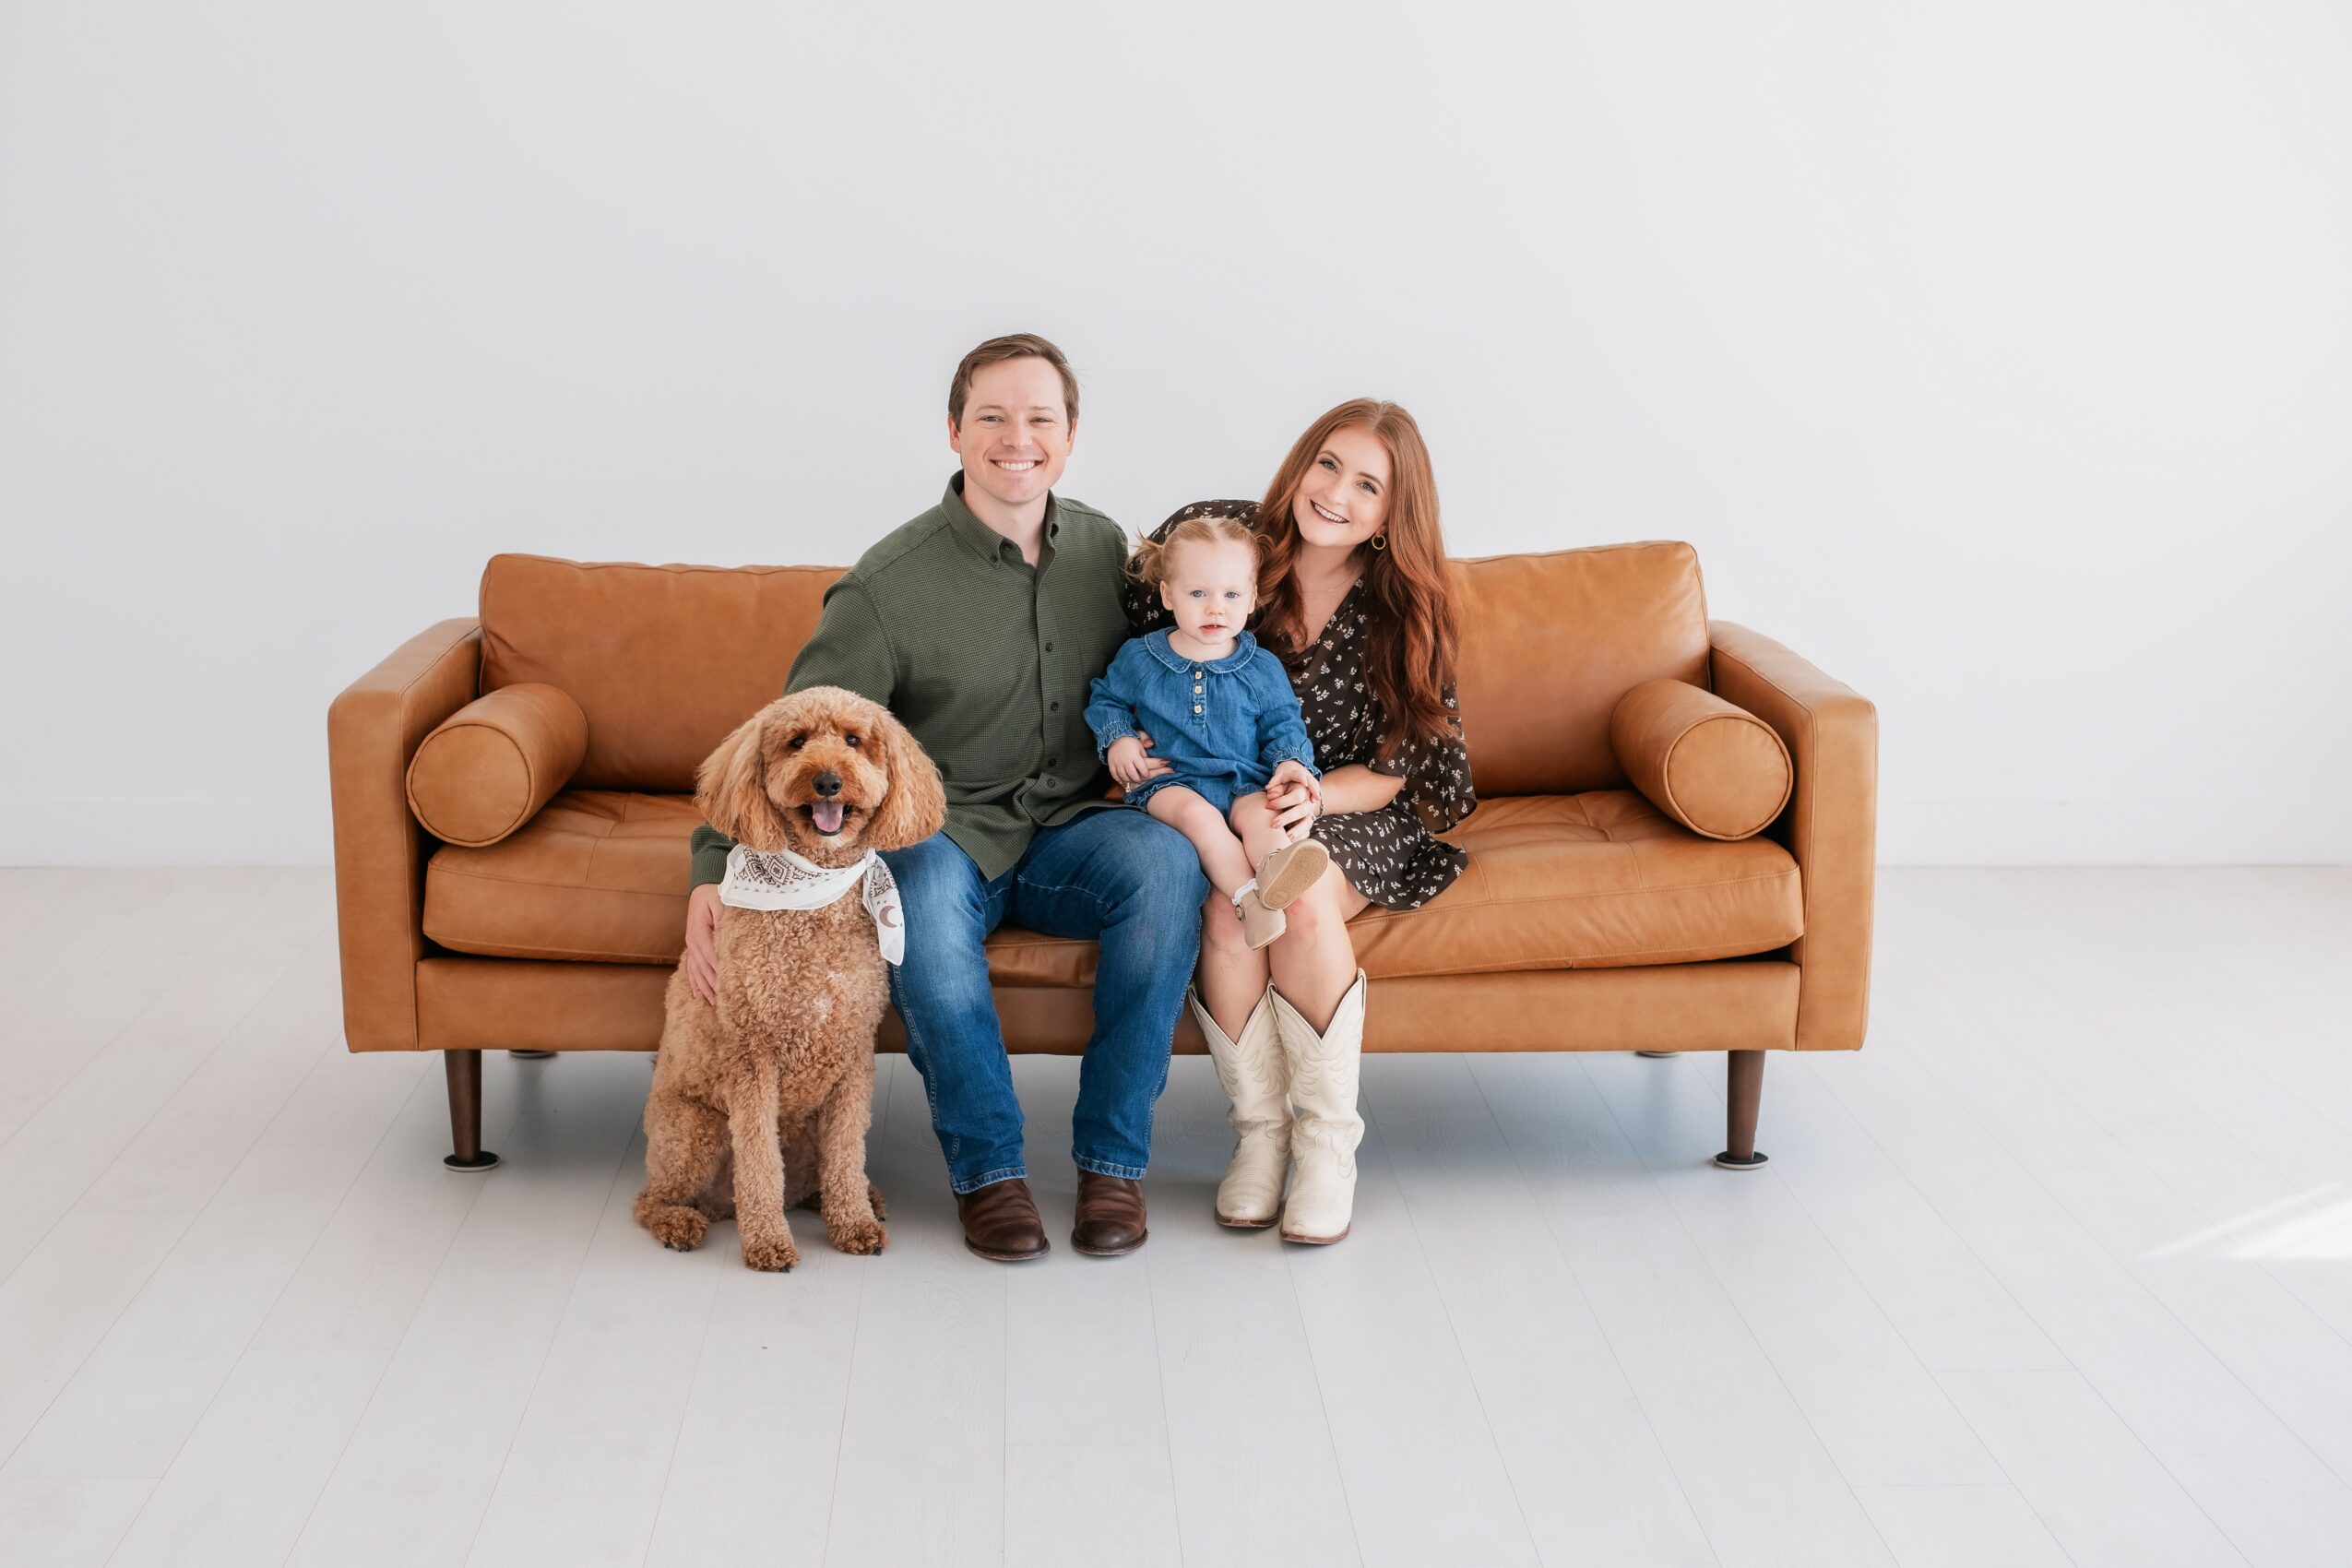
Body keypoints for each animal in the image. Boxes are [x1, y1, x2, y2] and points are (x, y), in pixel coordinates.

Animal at [633, 686, 945, 1271]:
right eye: (796, 742)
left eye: (854, 740)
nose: (827, 780)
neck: (815, 900)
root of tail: (718, 1207)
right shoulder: (752, 1059)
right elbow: (759, 1165)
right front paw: (768, 1243)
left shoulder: (852, 1054)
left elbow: (847, 1155)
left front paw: (853, 1224)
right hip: (696, 1130)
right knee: (652, 1199)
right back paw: (679, 1223)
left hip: (804, 1133)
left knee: (812, 1180)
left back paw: (858, 1199)